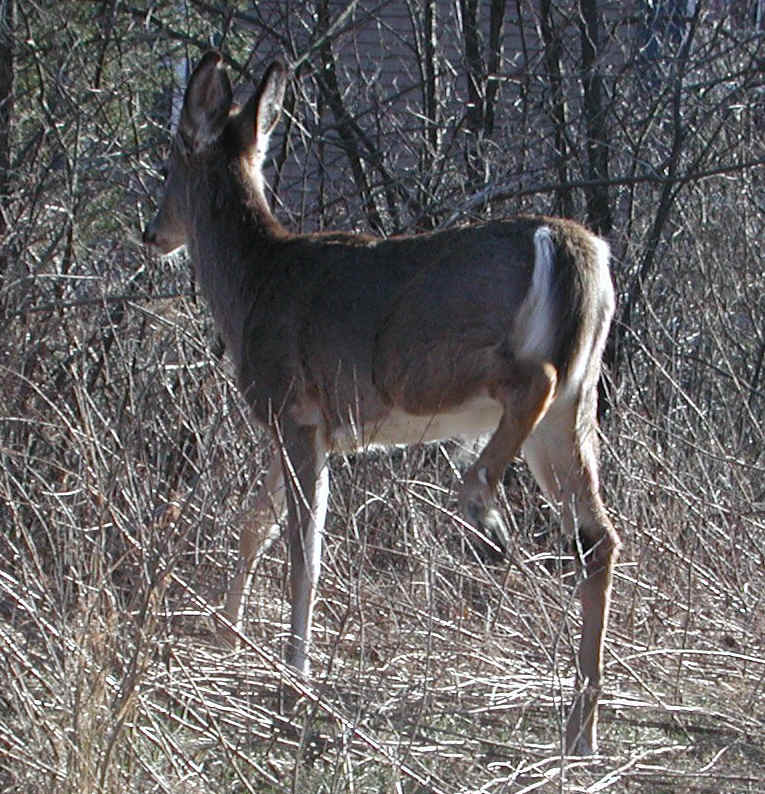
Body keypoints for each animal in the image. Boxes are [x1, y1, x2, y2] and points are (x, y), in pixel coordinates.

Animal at [143, 51, 621, 756]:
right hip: (572, 409)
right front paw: (230, 633)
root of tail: (577, 250)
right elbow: (256, 523)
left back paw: (481, 505)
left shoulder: (294, 406)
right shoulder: (298, 426)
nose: (151, 232)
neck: (252, 285)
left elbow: (303, 550)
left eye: (171, 159)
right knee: (598, 537)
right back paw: (581, 730)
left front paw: (294, 674)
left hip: (433, 362)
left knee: (530, 383)